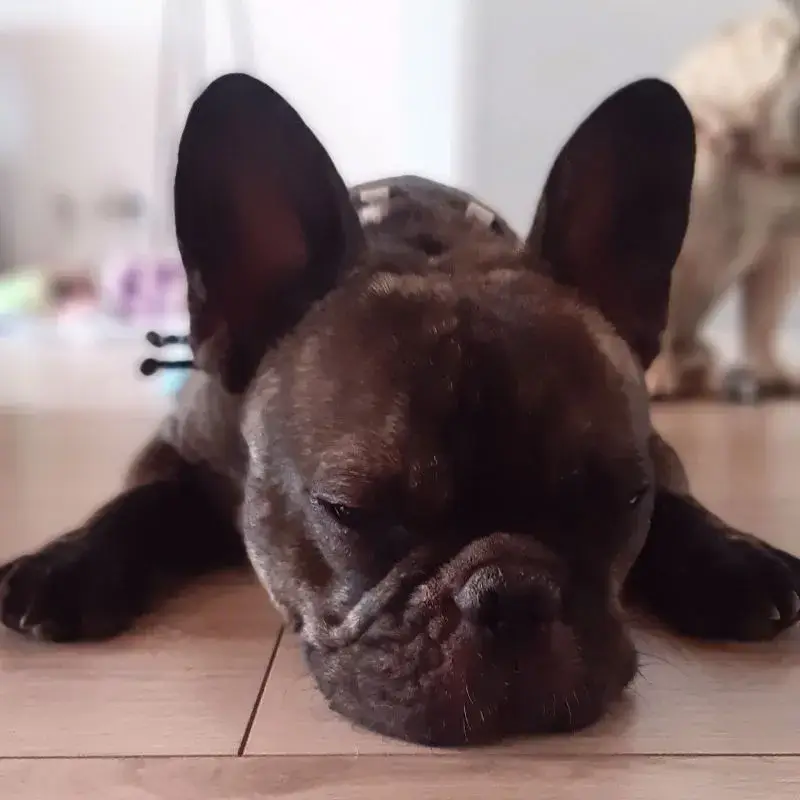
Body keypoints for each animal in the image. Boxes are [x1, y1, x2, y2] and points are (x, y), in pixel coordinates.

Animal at [1, 72, 800, 748]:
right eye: (348, 511)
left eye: (625, 500)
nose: (513, 595)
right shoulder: (182, 446)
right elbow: (138, 502)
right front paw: (65, 564)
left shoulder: (659, 453)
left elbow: (683, 506)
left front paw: (736, 560)